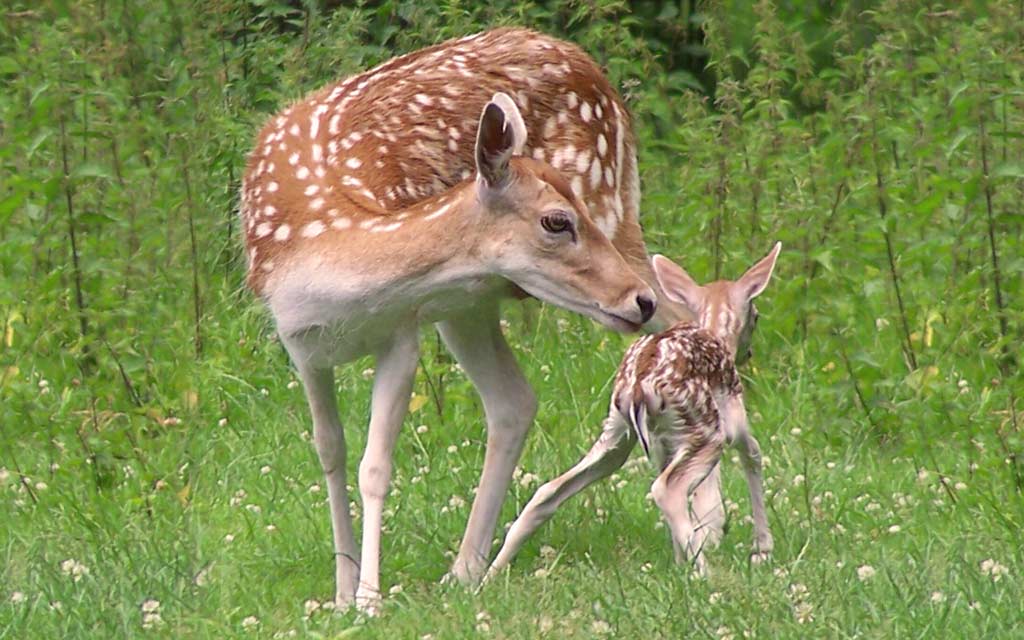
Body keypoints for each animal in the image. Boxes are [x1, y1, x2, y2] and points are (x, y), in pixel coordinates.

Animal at [239, 29, 671, 615]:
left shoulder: (401, 330)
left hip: (616, 219)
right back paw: (468, 568)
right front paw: (343, 593)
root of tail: (587, 63)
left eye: (572, 212)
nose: (636, 300)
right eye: (557, 220)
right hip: (468, 303)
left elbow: (375, 467)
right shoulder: (300, 344)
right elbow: (331, 451)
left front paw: (370, 599)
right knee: (514, 401)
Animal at [485, 242, 781, 580]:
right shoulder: (733, 414)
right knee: (667, 489)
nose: (748, 352)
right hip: (705, 429)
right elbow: (752, 455)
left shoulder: (663, 445)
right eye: (756, 315)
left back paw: (487, 575)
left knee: (547, 491)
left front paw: (680, 560)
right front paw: (762, 548)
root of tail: (639, 385)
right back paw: (705, 575)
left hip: (618, 431)